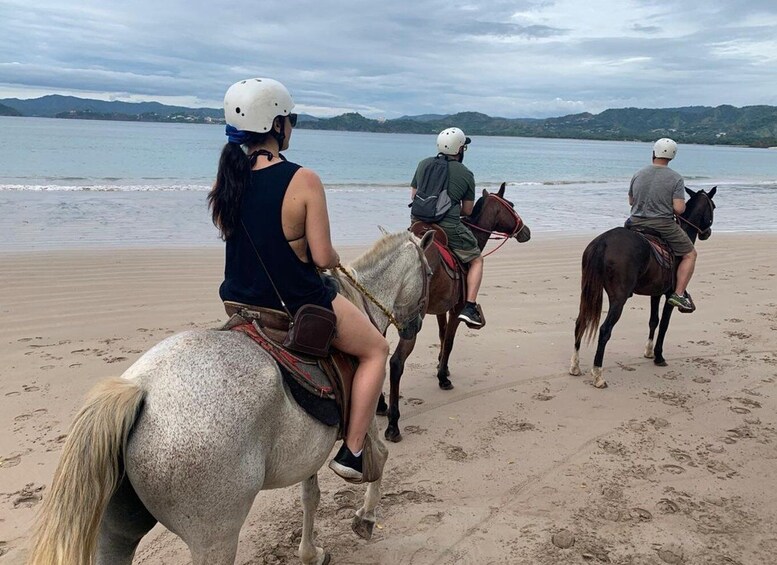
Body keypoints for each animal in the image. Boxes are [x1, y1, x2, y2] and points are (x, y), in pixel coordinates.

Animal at [28, 230, 430, 564]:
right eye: (429, 272)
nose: (414, 327)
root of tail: (143, 389)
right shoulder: (365, 418)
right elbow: (378, 459)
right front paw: (366, 518)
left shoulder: (310, 452)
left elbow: (310, 496)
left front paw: (309, 552)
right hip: (215, 539)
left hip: (116, 532)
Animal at [378, 182, 532, 440]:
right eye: (511, 206)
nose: (526, 231)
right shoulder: (456, 309)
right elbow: (449, 342)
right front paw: (443, 377)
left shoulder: (442, 309)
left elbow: (442, 337)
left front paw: (444, 368)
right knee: (396, 363)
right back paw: (392, 423)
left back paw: (379, 404)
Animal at [568, 186, 720, 388]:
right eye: (713, 206)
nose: (707, 233)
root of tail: (603, 242)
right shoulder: (669, 294)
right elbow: (664, 324)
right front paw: (658, 356)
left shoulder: (655, 293)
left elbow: (653, 320)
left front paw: (648, 351)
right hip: (619, 299)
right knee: (605, 330)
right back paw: (598, 375)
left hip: (589, 291)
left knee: (581, 322)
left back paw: (575, 366)